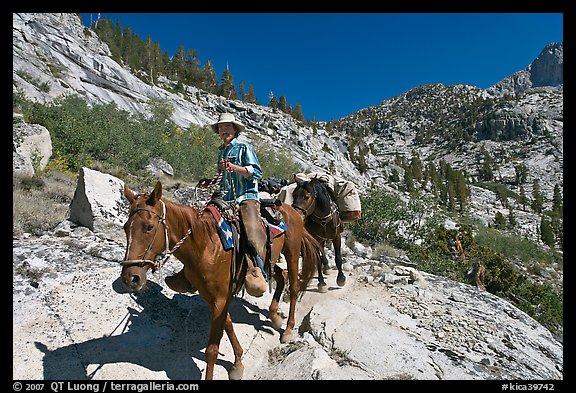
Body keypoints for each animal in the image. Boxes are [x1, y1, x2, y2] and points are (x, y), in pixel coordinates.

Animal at [120, 179, 324, 378]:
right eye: (125, 227)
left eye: (149, 227)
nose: (131, 278)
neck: (205, 246)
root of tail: (293, 211)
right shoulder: (213, 298)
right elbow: (229, 325)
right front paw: (238, 363)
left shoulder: (220, 299)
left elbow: (212, 350)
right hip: (270, 260)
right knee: (281, 276)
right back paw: (274, 317)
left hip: (292, 253)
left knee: (294, 286)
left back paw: (288, 330)